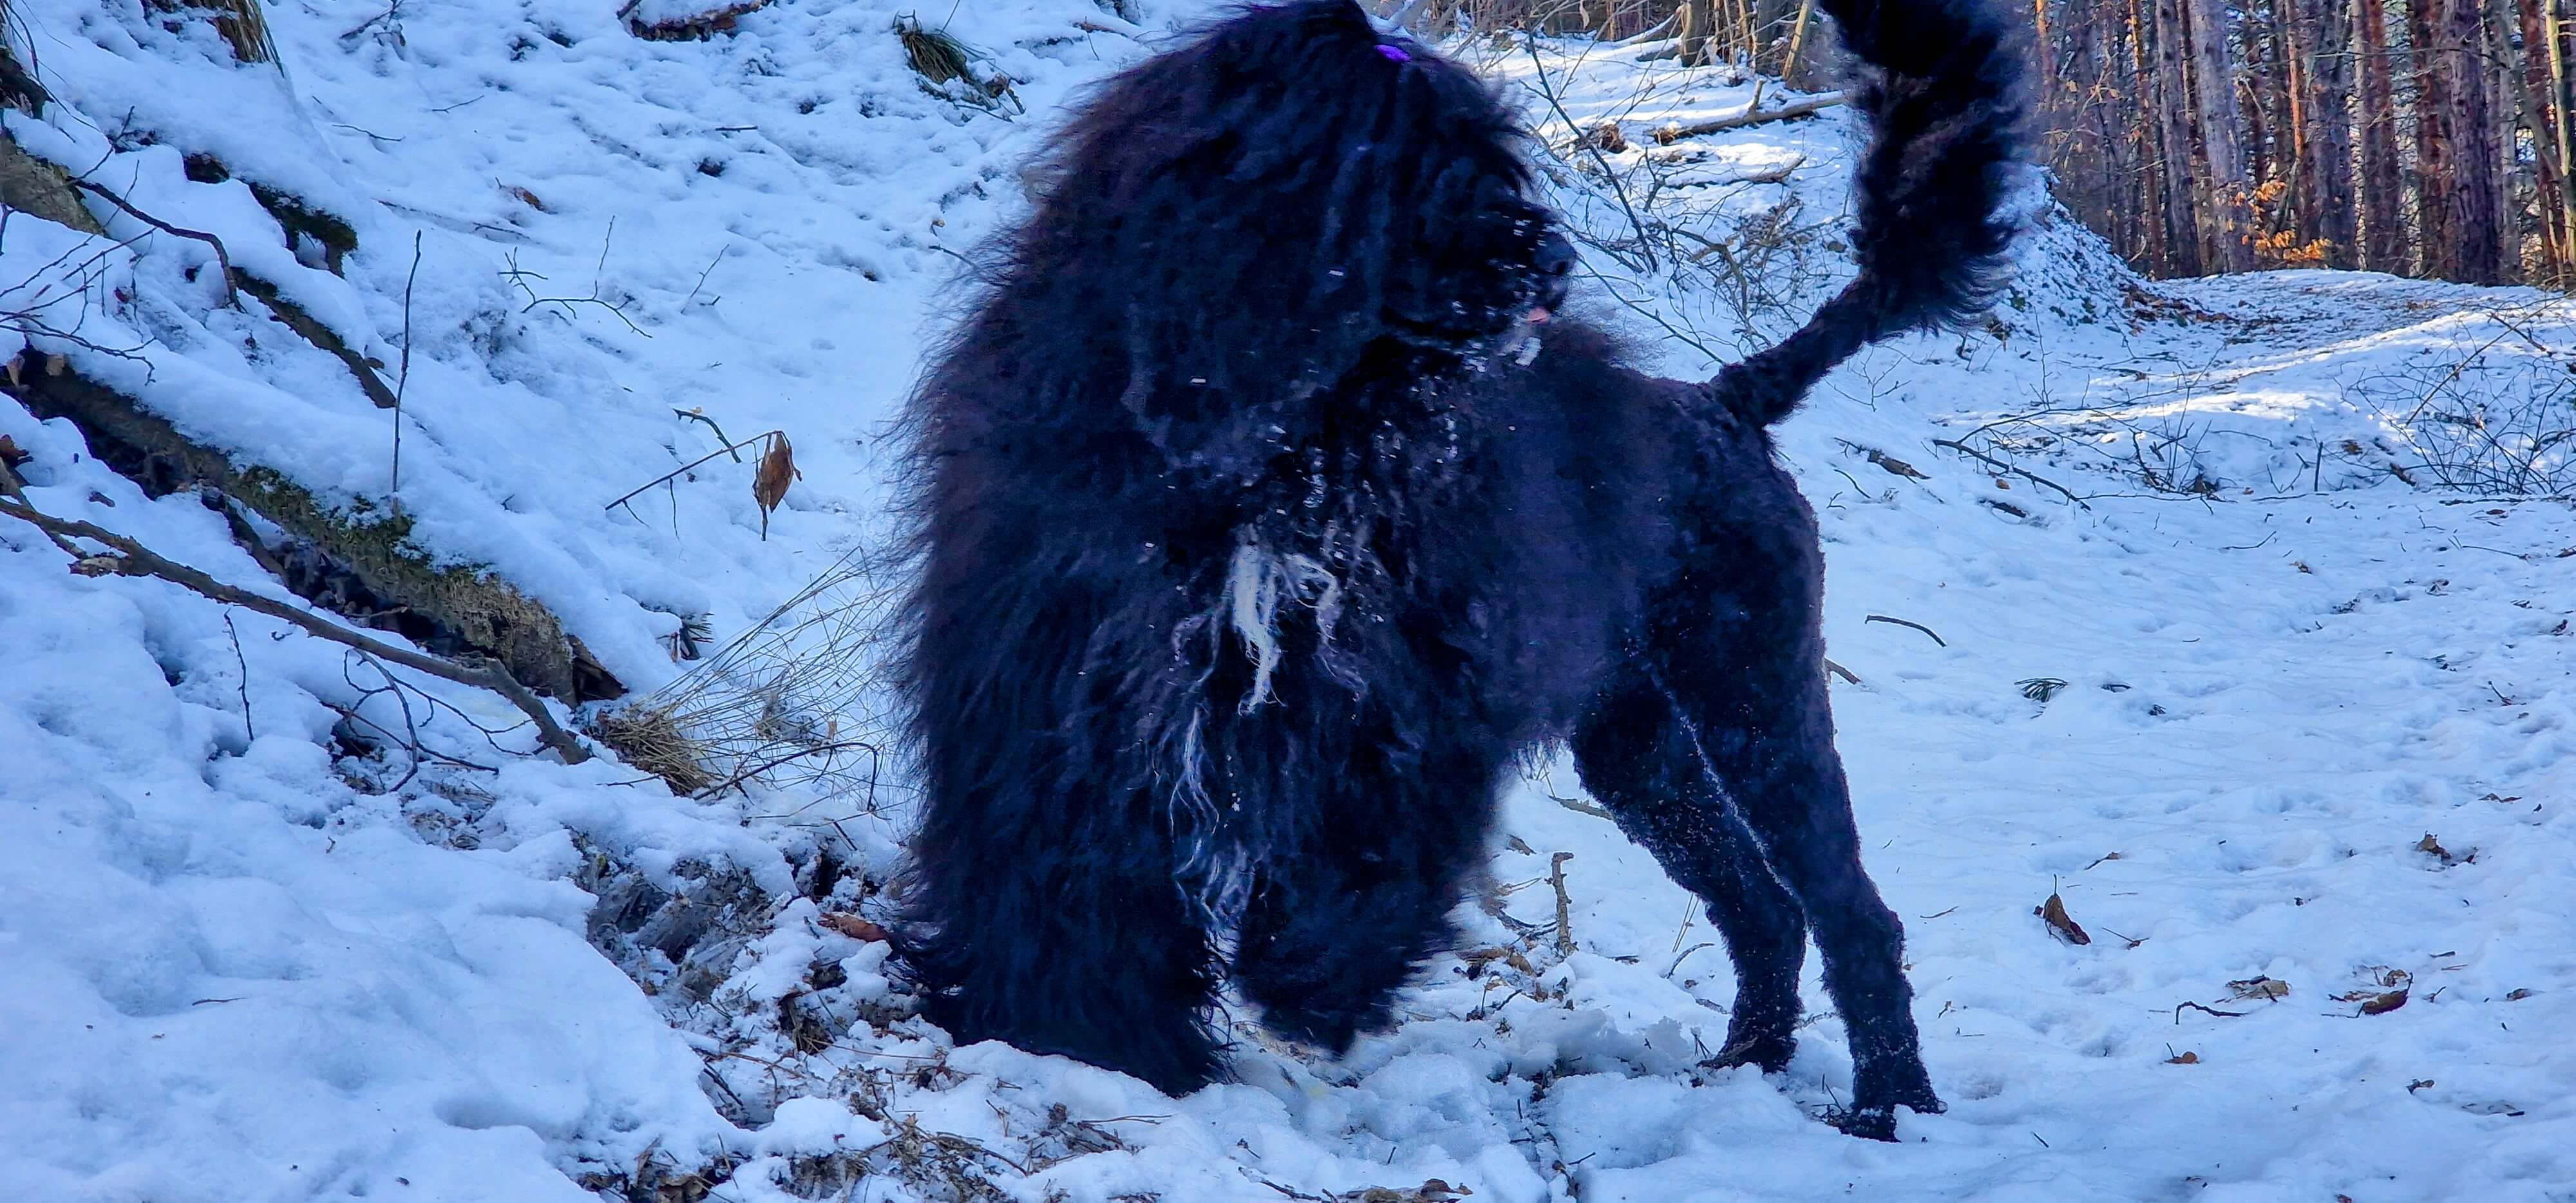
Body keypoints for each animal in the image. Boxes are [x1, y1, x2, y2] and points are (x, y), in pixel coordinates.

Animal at [896, 0, 2020, 1139]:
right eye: (1414, 167)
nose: (1556, 259)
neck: (1280, 455)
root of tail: (1725, 400)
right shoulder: (1068, 703)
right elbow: (1066, 877)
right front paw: (1075, 1037)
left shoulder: (1405, 713)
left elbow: (1368, 861)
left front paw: (1309, 986)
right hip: (1645, 747)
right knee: (1760, 906)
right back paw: (1747, 1060)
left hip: (1754, 694)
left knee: (1851, 916)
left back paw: (1891, 1106)